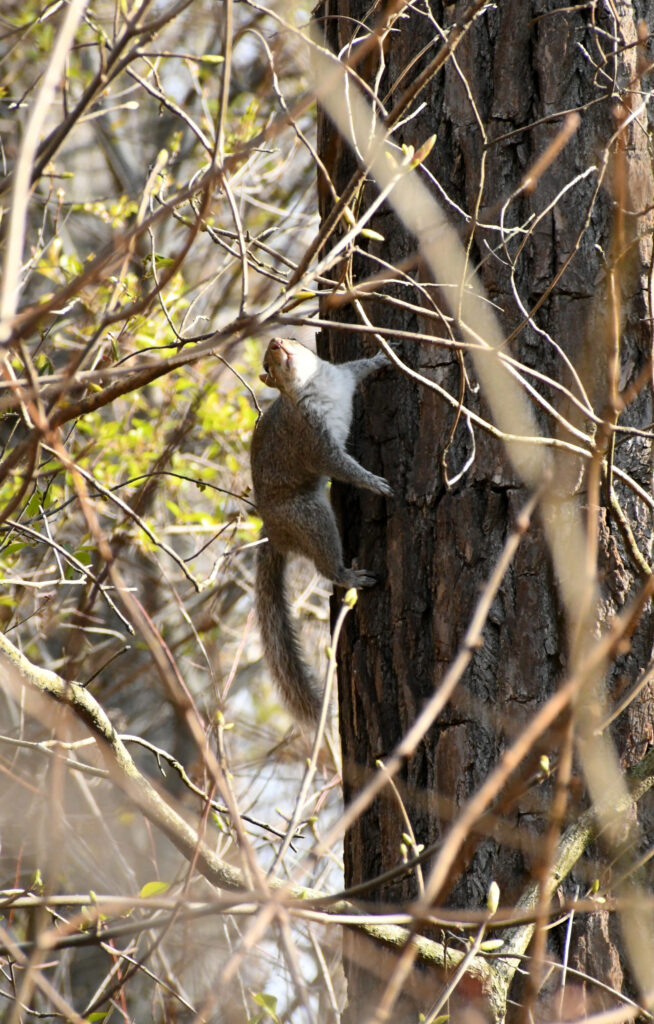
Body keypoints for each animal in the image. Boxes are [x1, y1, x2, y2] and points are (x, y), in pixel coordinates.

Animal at [250, 337, 392, 724]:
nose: (275, 342)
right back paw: (348, 575)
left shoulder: (342, 375)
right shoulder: (313, 440)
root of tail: (275, 532)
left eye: (291, 339)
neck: (315, 383)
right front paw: (374, 483)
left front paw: (383, 357)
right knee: (325, 564)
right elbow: (341, 466)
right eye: (267, 365)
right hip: (312, 520)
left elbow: (359, 368)